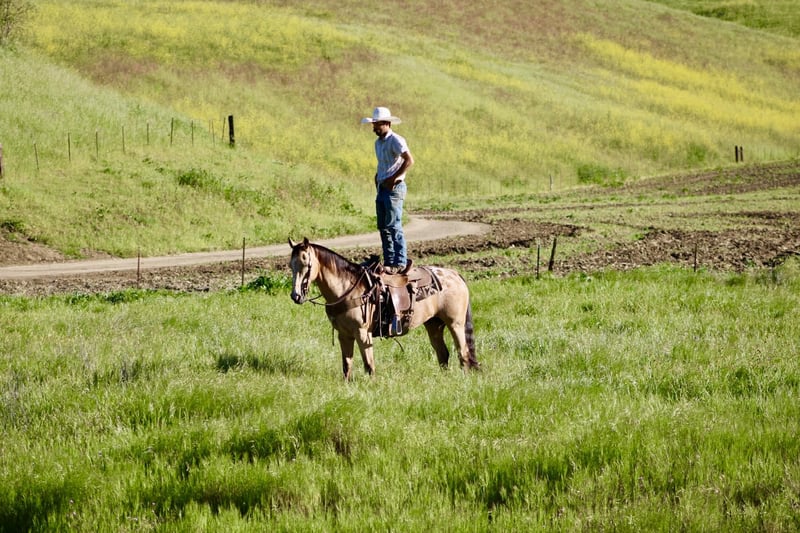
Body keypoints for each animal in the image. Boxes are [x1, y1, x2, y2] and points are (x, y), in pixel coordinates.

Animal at [289, 238, 480, 379]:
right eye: (291, 265)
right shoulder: (344, 334)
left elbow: (369, 364)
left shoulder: (362, 333)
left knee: (463, 353)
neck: (347, 289)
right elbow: (347, 365)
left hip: (455, 324)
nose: (295, 296)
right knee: (443, 354)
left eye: (307, 264)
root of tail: (455, 274)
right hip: (433, 324)